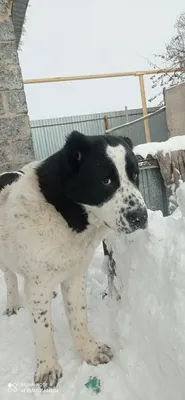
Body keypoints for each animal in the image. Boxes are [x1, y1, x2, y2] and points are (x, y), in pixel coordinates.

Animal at [0, 130, 147, 388]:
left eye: (135, 175)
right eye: (106, 180)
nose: (141, 217)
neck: (64, 213)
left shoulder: (75, 274)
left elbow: (79, 316)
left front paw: (89, 351)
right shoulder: (37, 282)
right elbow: (43, 329)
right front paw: (47, 368)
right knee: (9, 278)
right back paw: (13, 304)